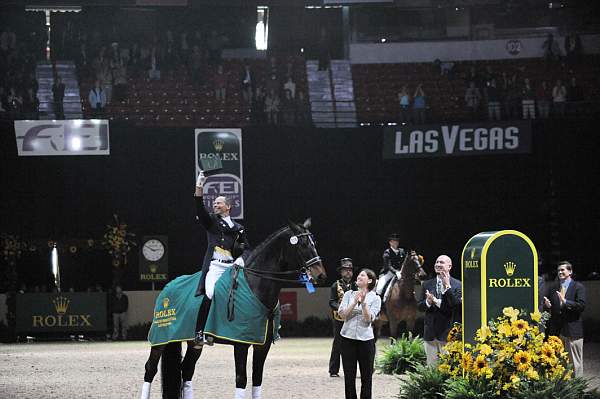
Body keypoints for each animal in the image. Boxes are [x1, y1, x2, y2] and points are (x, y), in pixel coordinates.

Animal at [140, 220, 326, 398]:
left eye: (314, 243)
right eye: (303, 244)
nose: (321, 274)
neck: (254, 286)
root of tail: (167, 287)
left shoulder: (262, 345)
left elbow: (257, 379)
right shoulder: (241, 343)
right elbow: (241, 379)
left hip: (193, 343)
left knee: (186, 370)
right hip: (160, 339)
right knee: (150, 368)